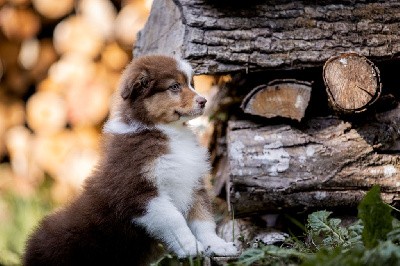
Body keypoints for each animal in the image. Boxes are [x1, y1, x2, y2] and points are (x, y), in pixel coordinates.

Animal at [24, 55, 238, 264]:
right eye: (174, 86)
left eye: (191, 84)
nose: (204, 101)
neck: (169, 133)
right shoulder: (139, 192)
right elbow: (174, 219)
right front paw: (191, 247)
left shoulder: (193, 183)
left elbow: (204, 220)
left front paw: (218, 246)